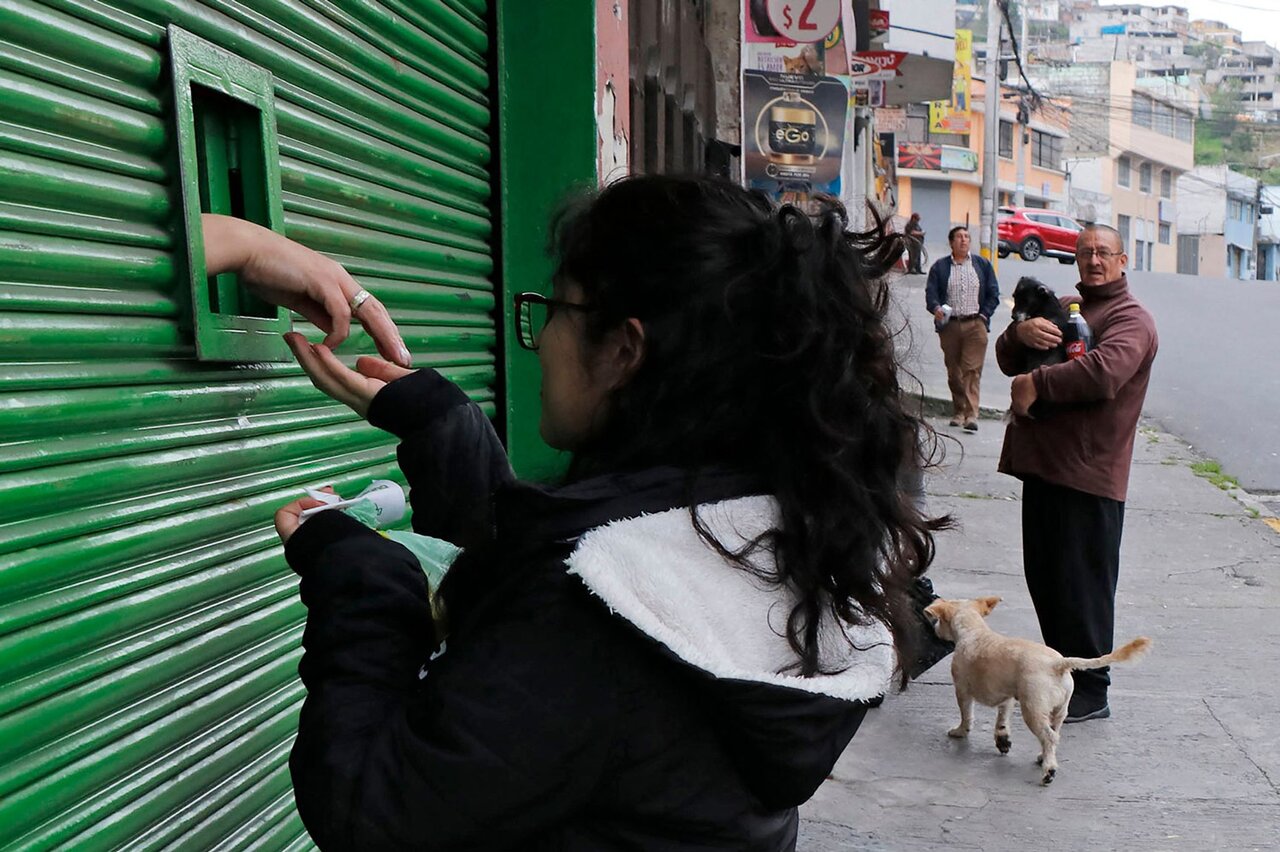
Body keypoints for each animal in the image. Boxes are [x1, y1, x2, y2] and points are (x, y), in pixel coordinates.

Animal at [921, 593, 1152, 777]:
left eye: (939, 621)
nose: (934, 628)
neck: (973, 631)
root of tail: (1058, 664)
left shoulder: (962, 690)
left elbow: (966, 715)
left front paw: (960, 731)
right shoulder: (1007, 698)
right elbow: (1002, 721)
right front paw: (1002, 740)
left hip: (1032, 709)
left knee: (1049, 737)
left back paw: (1049, 769)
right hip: (1058, 711)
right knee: (1054, 734)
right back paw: (1044, 757)